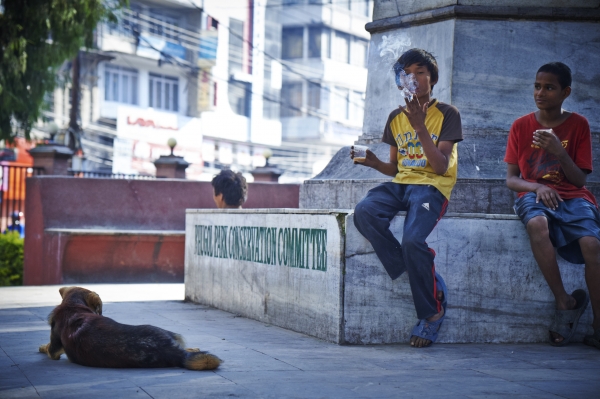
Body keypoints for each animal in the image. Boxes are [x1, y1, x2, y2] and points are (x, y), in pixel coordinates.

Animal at [38, 286, 220, 370]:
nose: (101, 313)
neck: (73, 307)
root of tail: (173, 353)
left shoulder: (54, 350)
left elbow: (48, 347)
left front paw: (41, 347)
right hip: (168, 333)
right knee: (186, 347)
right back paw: (194, 349)